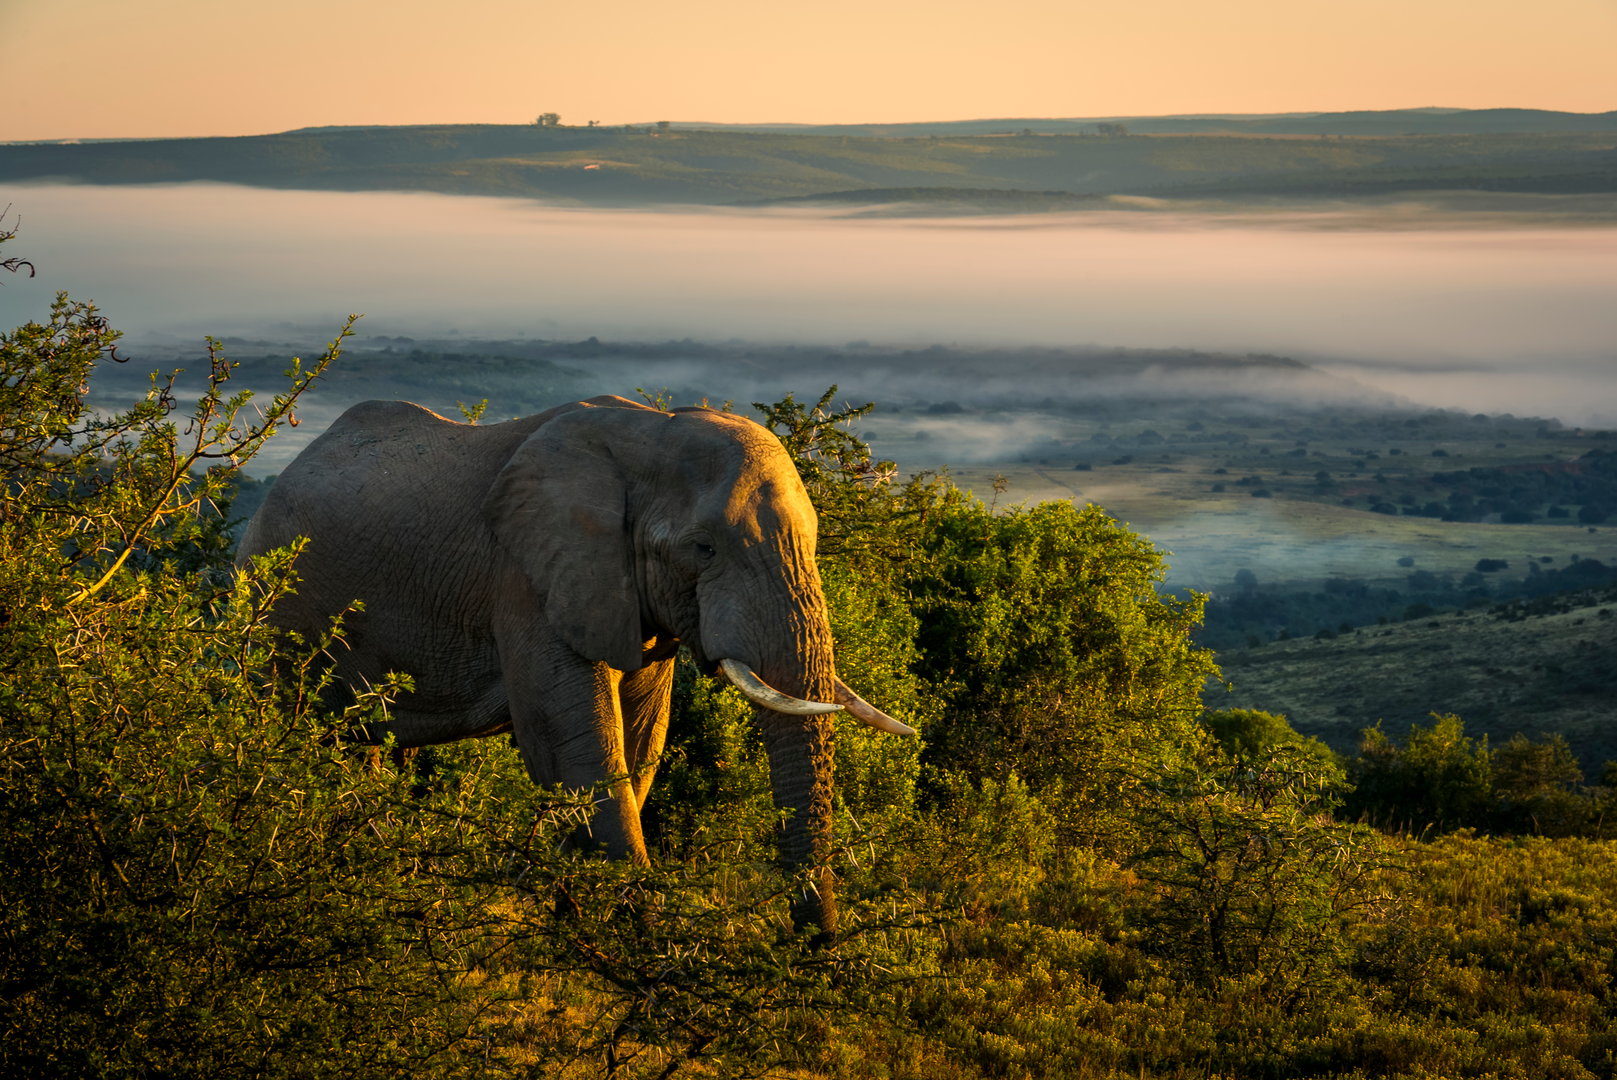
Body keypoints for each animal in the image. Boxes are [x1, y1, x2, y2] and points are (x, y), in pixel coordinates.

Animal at [236, 394, 913, 935]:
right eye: (703, 548)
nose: (811, 945)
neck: (650, 430)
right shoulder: (526, 580)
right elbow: (577, 749)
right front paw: (642, 959)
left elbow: (639, 744)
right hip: (274, 607)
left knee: (359, 749)